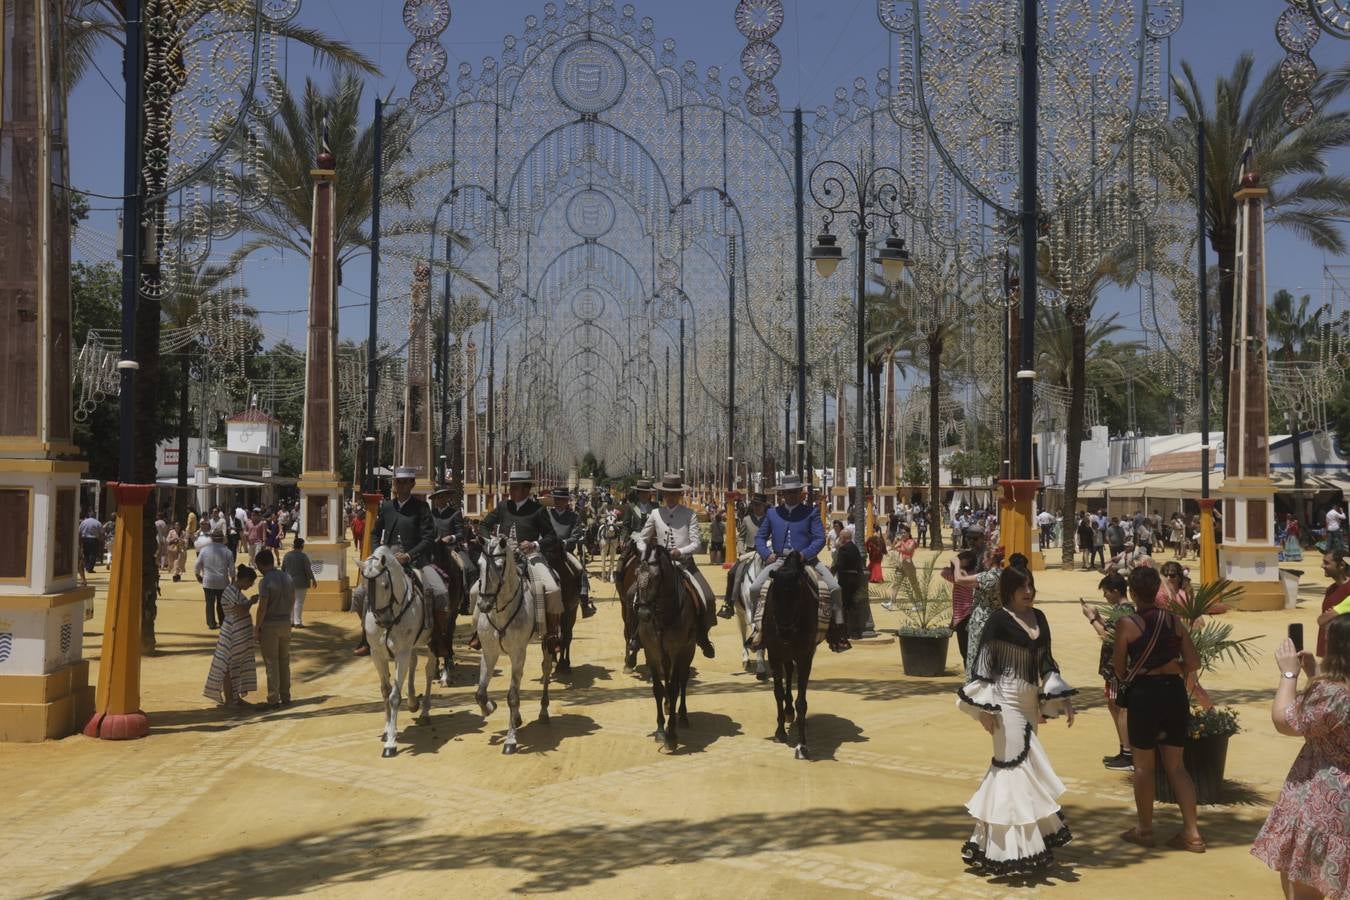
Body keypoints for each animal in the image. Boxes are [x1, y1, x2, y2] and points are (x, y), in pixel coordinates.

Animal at [361, 545, 434, 755]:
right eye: (365, 585)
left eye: (386, 585)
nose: (383, 620)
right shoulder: (377, 654)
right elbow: (385, 691)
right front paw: (387, 730)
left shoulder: (401, 652)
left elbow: (394, 696)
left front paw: (391, 743)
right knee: (414, 663)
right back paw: (413, 702)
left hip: (435, 641)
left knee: (429, 670)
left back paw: (424, 711)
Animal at [472, 531, 550, 755]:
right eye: (479, 564)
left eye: (499, 566)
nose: (484, 604)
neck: (500, 611)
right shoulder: (489, 653)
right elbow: (480, 693)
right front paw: (490, 708)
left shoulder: (517, 653)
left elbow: (512, 696)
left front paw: (510, 740)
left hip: (547, 640)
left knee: (546, 668)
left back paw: (543, 711)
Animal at [631, 545, 696, 750]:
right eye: (636, 573)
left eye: (657, 577)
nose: (643, 613)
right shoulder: (652, 652)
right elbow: (658, 689)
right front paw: (661, 730)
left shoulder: (678, 651)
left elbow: (675, 688)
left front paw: (672, 735)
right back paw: (668, 707)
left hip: (688, 651)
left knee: (682, 681)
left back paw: (682, 715)